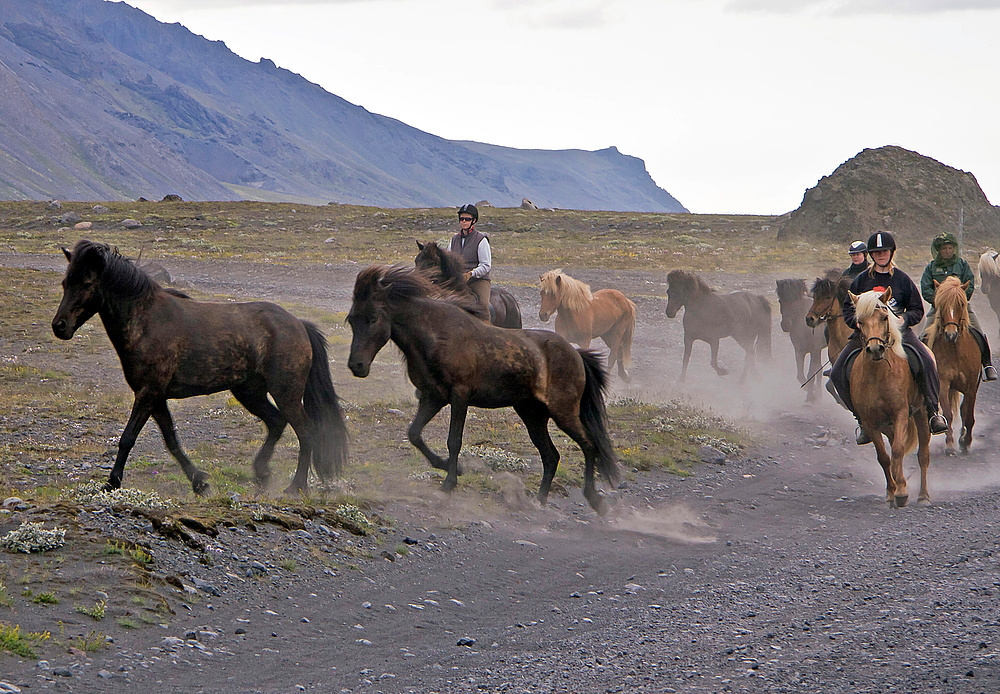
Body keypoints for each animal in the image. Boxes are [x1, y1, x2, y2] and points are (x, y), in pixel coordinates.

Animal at [50, 242, 348, 498]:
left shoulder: (148, 394)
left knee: (306, 432)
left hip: (285, 393)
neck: (147, 322)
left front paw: (112, 482)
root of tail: (299, 324)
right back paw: (261, 473)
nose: (59, 326)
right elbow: (171, 441)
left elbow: (128, 438)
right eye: (65, 283)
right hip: (249, 392)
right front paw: (200, 482)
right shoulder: (156, 398)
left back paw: (296, 486)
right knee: (276, 422)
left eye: (87, 283)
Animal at [348, 266, 620, 516]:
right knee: (551, 456)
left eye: (373, 318)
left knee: (589, 446)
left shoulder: (459, 396)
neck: (437, 336)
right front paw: (449, 467)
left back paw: (594, 499)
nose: (356, 365)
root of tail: (576, 354)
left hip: (563, 412)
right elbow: (414, 433)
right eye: (351, 319)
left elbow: (454, 440)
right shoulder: (432, 397)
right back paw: (539, 501)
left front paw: (449, 483)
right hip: (532, 414)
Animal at [848, 286, 932, 506]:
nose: (875, 349)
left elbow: (897, 450)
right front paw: (892, 491)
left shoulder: (900, 413)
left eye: (885, 317)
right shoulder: (870, 422)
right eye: (860, 321)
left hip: (920, 413)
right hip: (887, 426)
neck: (878, 376)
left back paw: (923, 495)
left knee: (923, 454)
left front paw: (901, 492)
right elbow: (884, 457)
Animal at [924, 278, 980, 456]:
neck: (955, 350)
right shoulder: (943, 383)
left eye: (961, 304)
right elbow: (948, 414)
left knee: (964, 410)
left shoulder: (971, 386)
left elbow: (967, 414)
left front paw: (965, 442)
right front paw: (950, 445)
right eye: (941, 304)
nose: (951, 334)